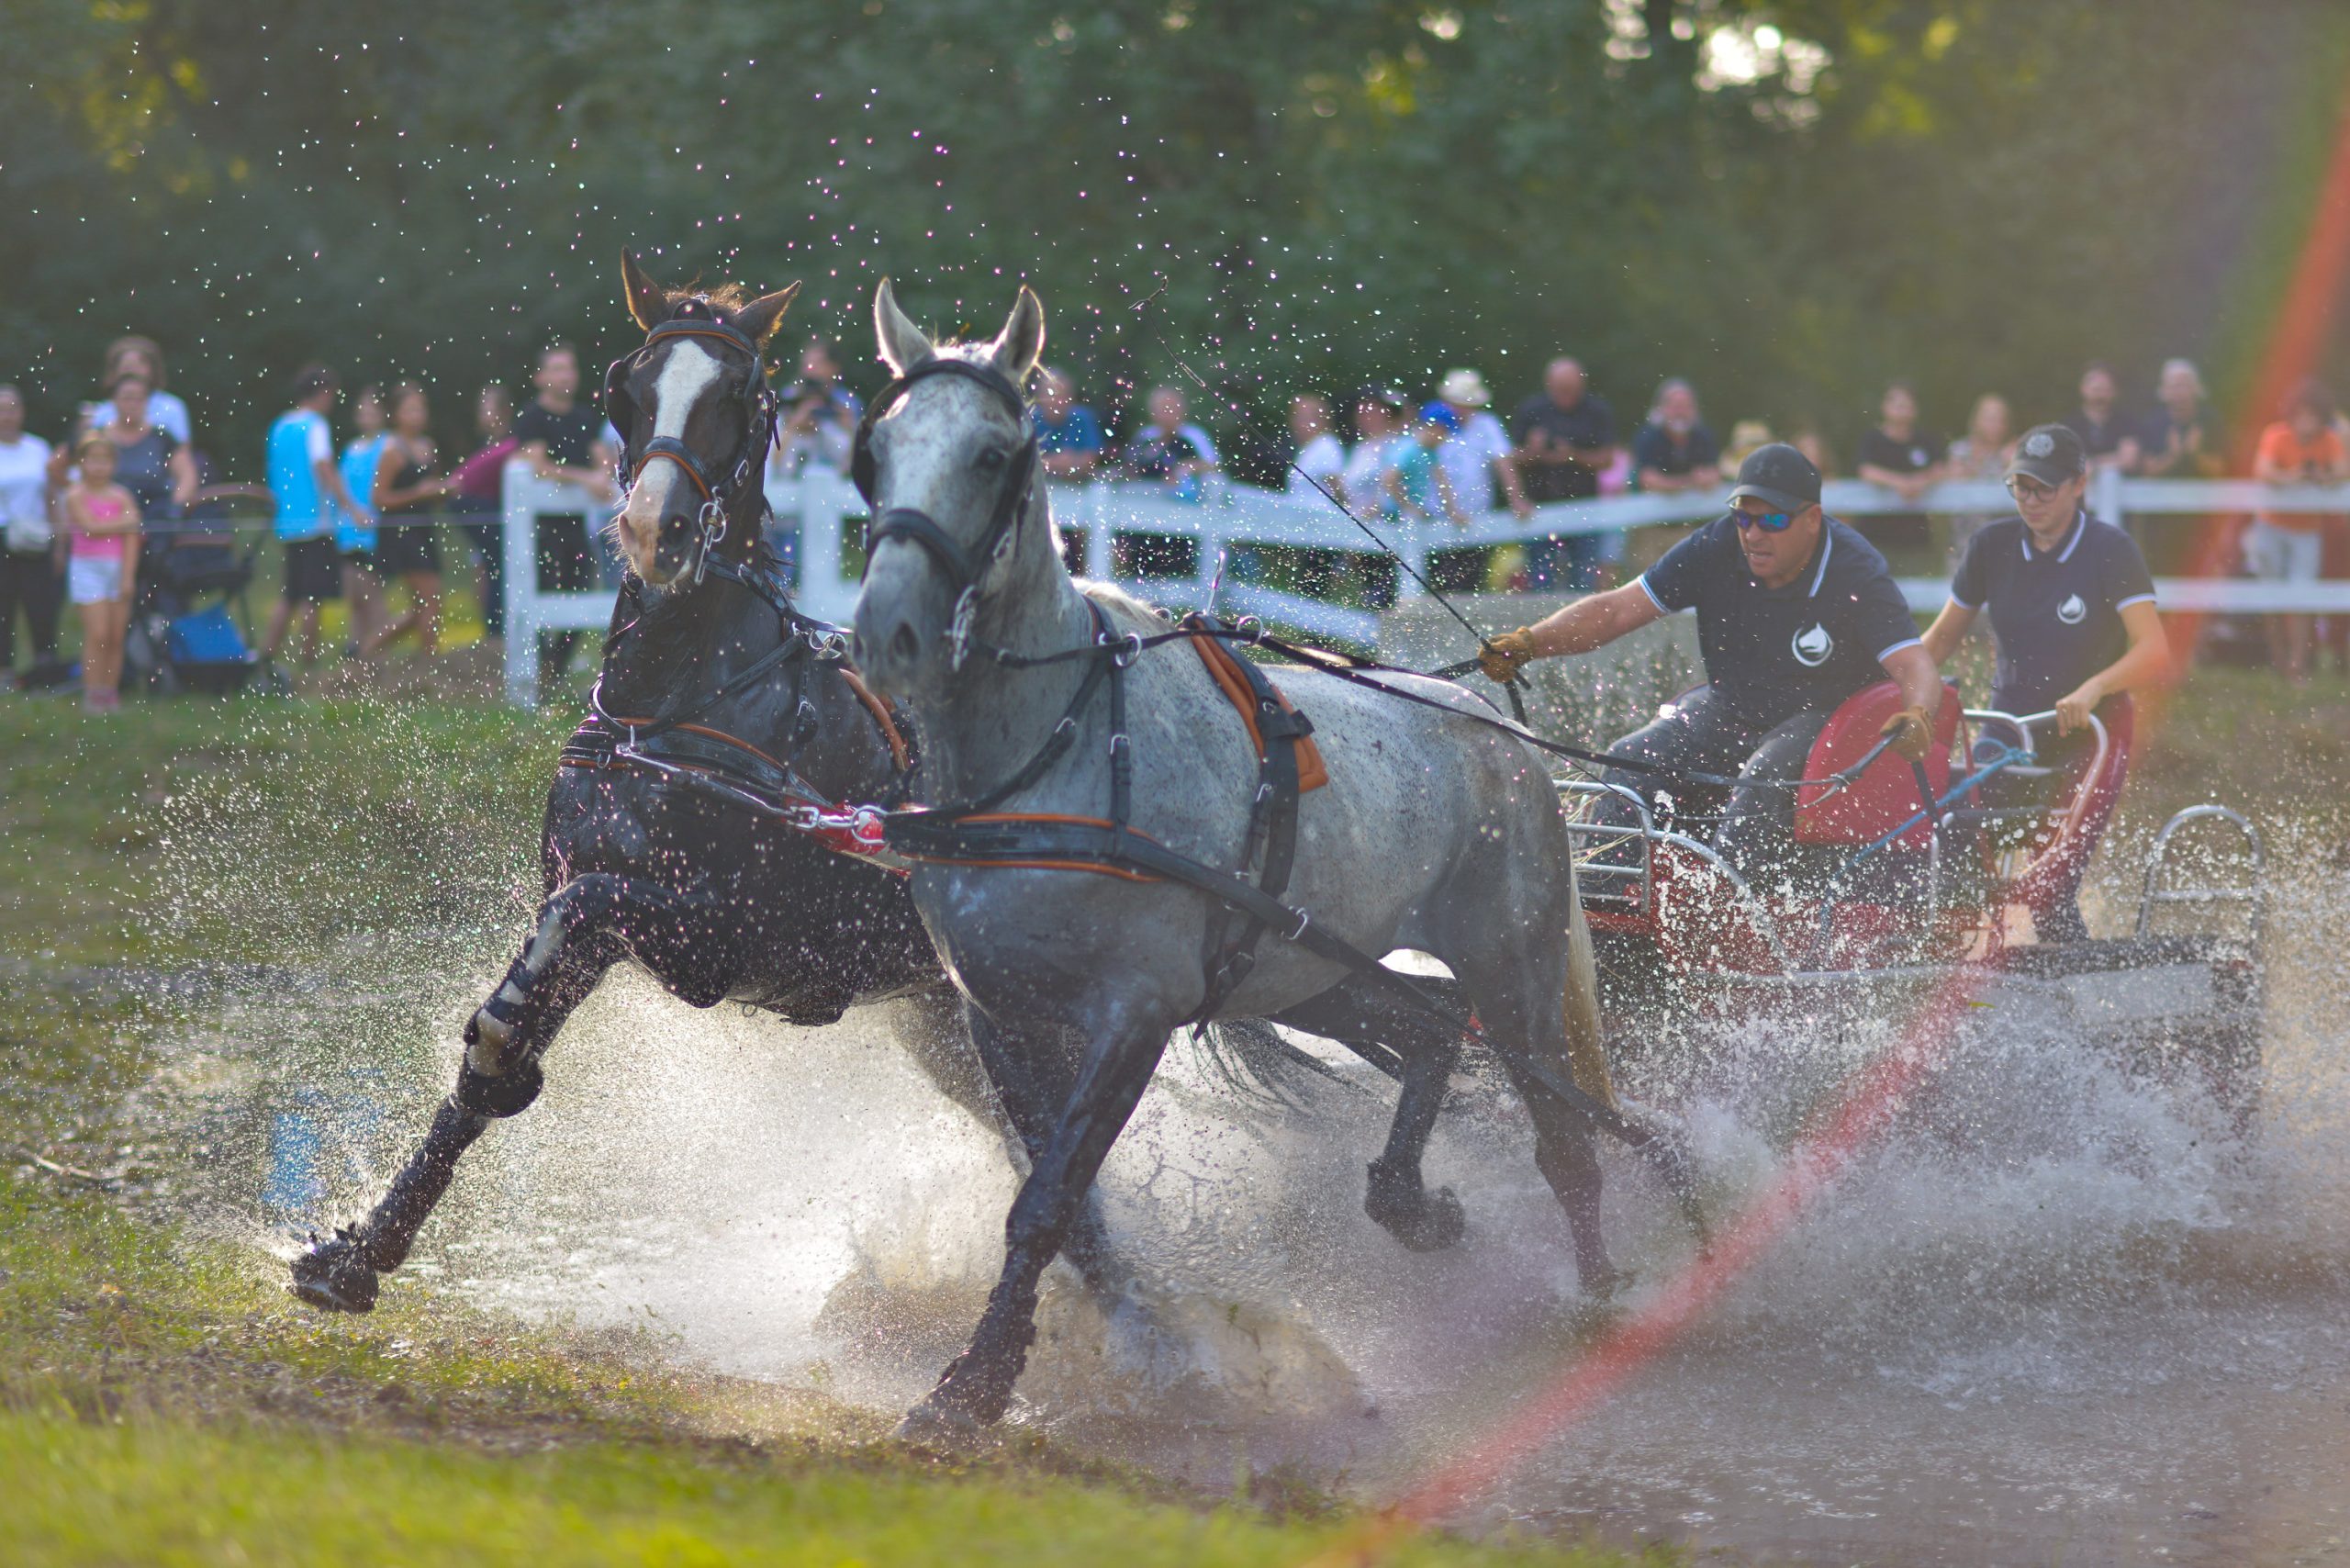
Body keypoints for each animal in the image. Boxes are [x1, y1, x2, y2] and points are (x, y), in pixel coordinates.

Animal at [290, 254, 1469, 1318]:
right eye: (628, 383)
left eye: (739, 395)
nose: (653, 531)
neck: (688, 698)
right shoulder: (591, 907)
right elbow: (499, 1046)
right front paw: (361, 1252)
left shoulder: (728, 936)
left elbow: (583, 921)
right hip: (985, 1020)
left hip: (1290, 963)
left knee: (1424, 1024)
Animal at [845, 280, 1672, 1437]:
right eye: (876, 447)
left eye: (993, 452)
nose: (888, 631)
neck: (1055, 752)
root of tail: (1504, 738)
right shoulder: (995, 1014)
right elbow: (1064, 1205)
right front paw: (995, 1369)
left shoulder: (1133, 1011)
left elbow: (1048, 1199)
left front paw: (979, 1383)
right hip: (1314, 967)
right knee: (1429, 1029)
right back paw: (1410, 1204)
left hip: (1515, 970)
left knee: (1563, 1138)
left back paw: (1597, 1292)